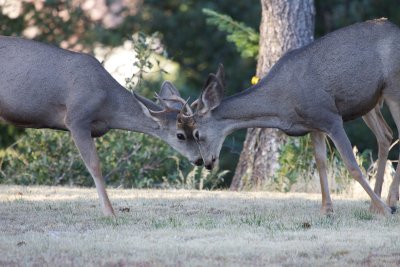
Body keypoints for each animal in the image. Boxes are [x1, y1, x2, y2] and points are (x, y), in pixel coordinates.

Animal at [0, 35, 203, 217]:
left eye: (195, 132)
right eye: (180, 135)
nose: (200, 159)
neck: (108, 105)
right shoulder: (76, 119)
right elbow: (94, 165)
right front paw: (109, 212)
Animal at [177, 18, 400, 216]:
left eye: (196, 134)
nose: (205, 163)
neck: (282, 108)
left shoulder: (330, 117)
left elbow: (351, 166)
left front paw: (384, 210)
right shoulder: (314, 125)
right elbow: (321, 162)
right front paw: (326, 210)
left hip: (392, 89)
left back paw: (388, 203)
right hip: (371, 102)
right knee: (386, 135)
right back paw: (377, 204)